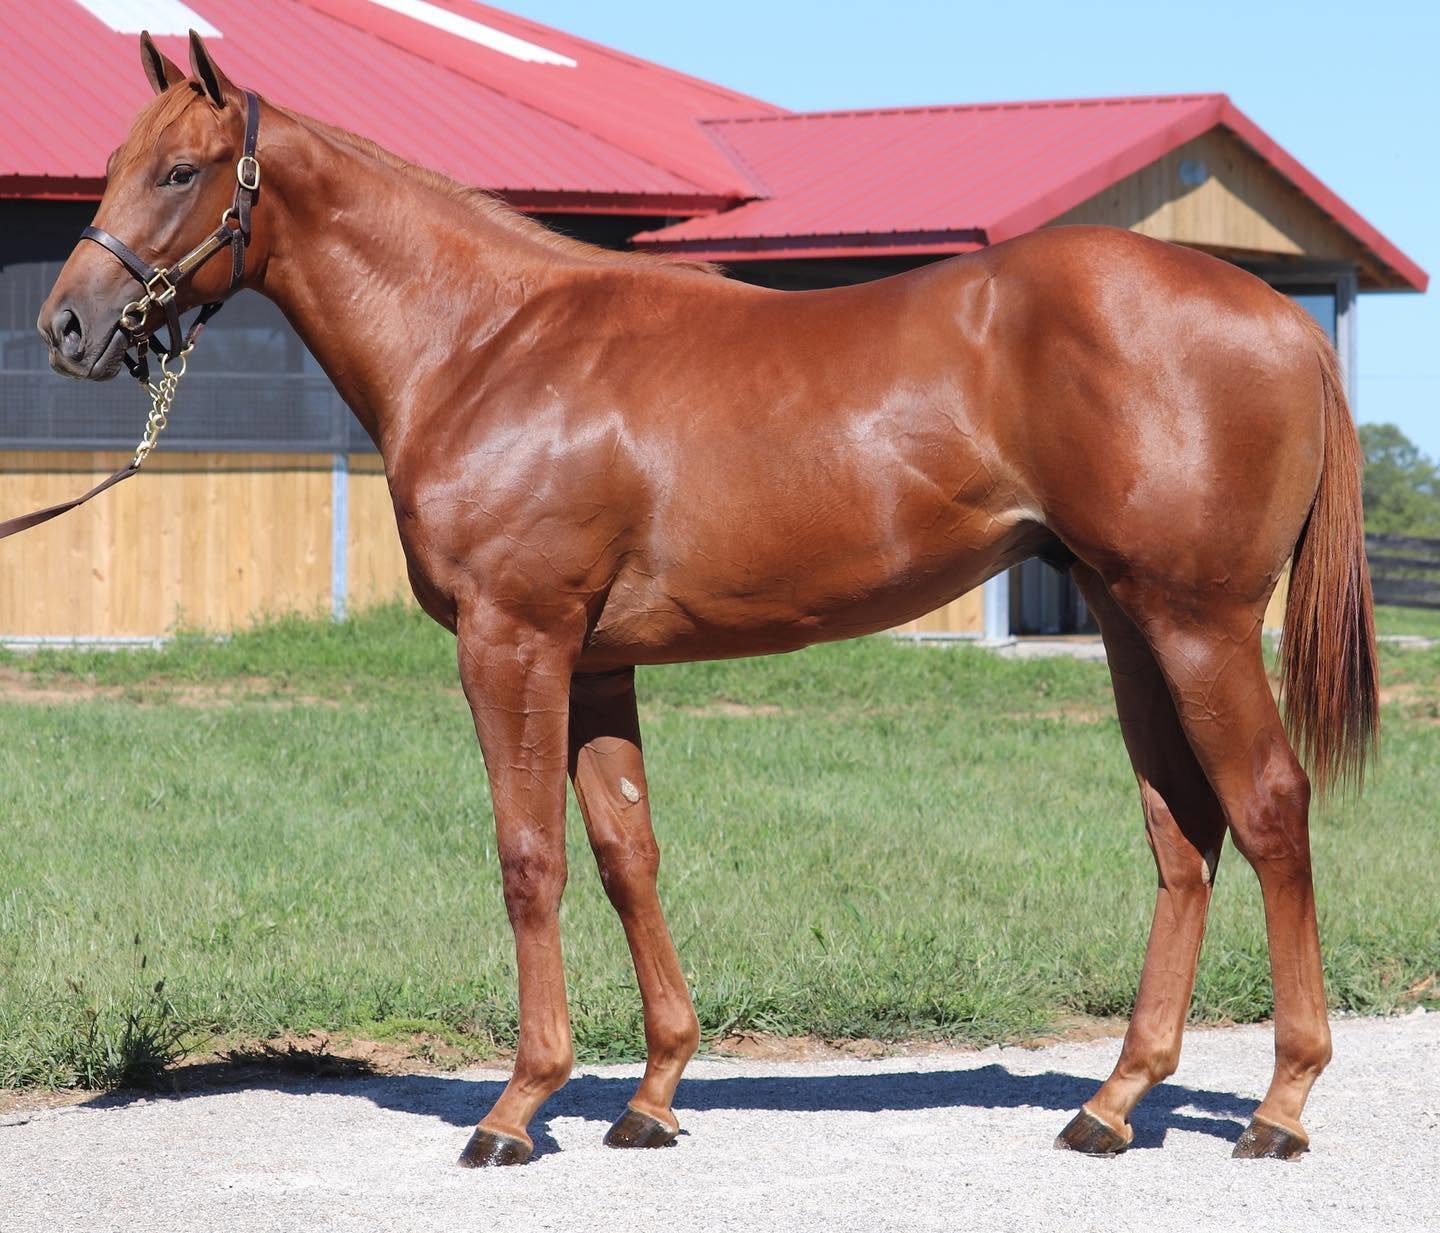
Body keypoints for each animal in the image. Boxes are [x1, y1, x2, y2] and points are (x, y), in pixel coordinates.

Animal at [38, 32, 1376, 1167]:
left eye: (180, 170)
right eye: (109, 167)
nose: (68, 326)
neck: (487, 344)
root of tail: (1281, 320)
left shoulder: (513, 642)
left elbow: (529, 857)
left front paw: (518, 1108)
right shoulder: (592, 664)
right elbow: (627, 854)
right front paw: (653, 1093)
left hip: (1196, 624)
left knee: (1268, 808)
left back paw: (1281, 1104)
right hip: (1129, 621)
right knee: (1182, 834)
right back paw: (1113, 1102)